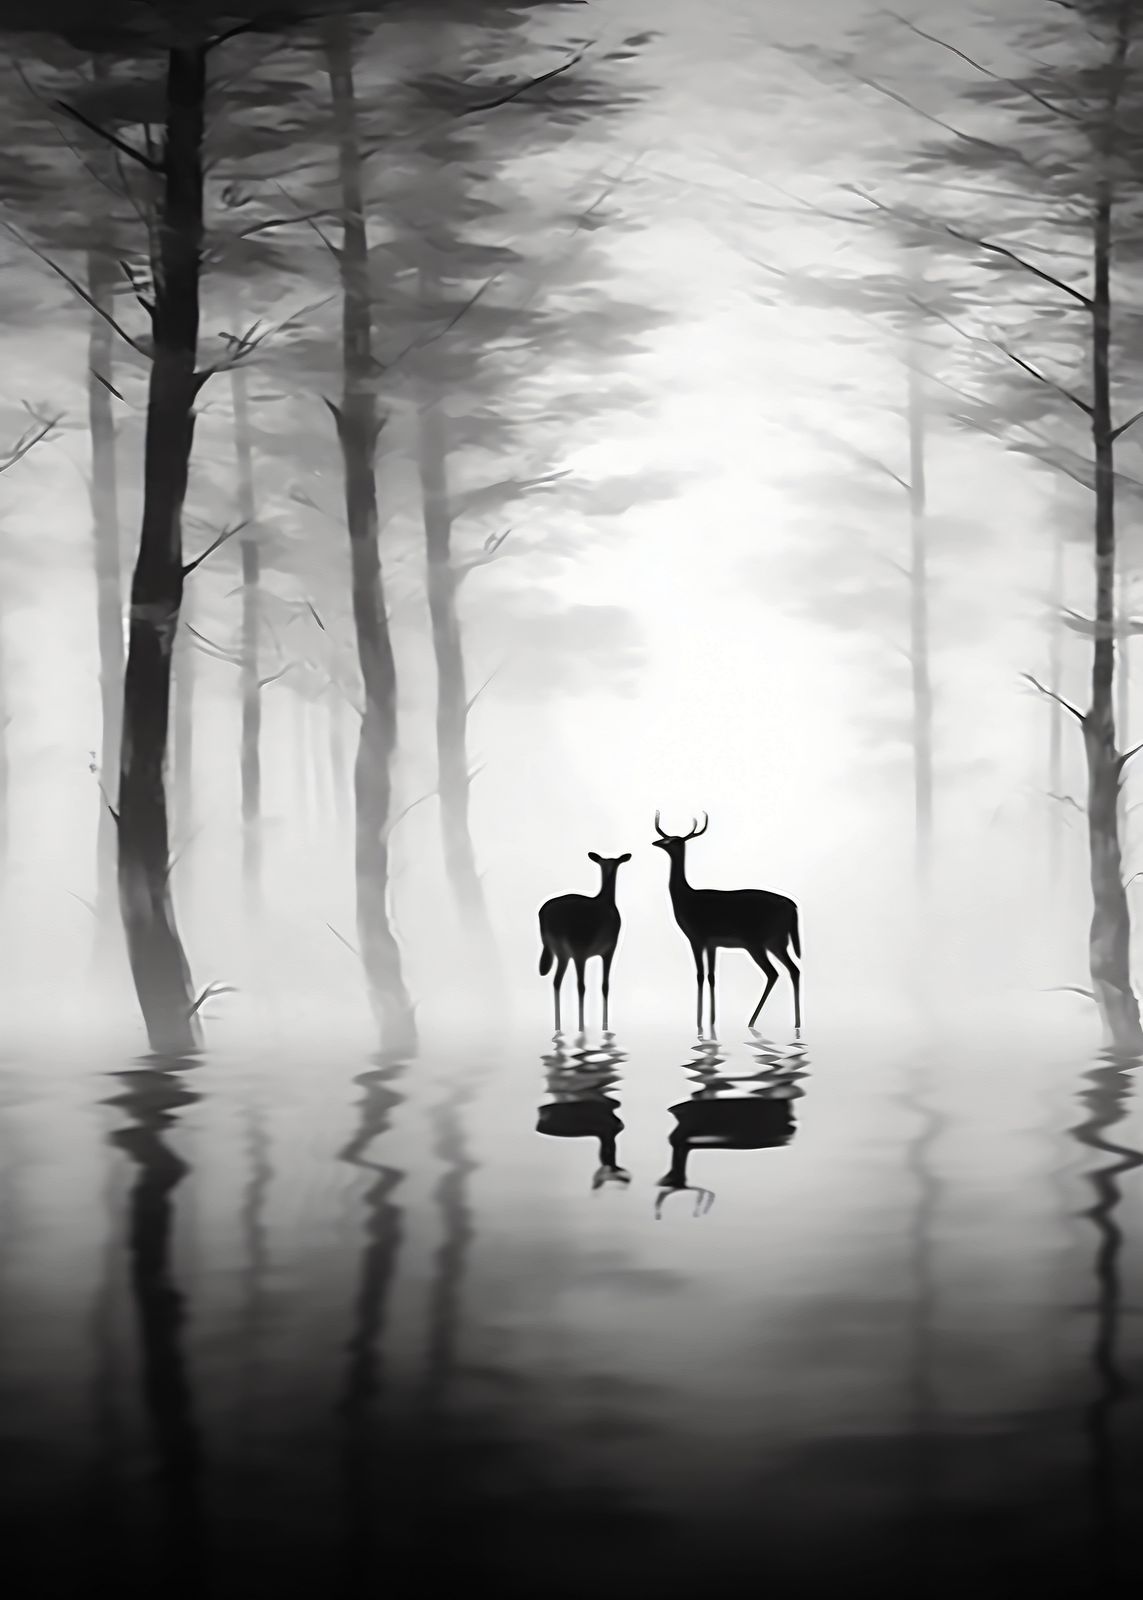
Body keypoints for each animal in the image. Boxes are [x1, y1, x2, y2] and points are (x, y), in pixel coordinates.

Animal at [538, 851, 632, 1035]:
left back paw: (558, 1027)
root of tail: (542, 912)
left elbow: (605, 986)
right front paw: (597, 1026)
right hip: (574, 951)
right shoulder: (604, 950)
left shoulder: (605, 952)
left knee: (556, 982)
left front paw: (604, 1026)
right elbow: (595, 986)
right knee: (578, 986)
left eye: (614, 863)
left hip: (562, 953)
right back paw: (578, 1027)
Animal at [652, 812, 801, 1038]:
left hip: (759, 942)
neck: (686, 900)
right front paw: (711, 1021)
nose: (656, 842)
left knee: (774, 972)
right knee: (793, 970)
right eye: (666, 838)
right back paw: (795, 1023)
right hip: (776, 942)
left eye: (674, 841)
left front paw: (700, 1023)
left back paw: (753, 1021)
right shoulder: (712, 943)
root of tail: (793, 906)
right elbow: (711, 976)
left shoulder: (697, 938)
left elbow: (700, 975)